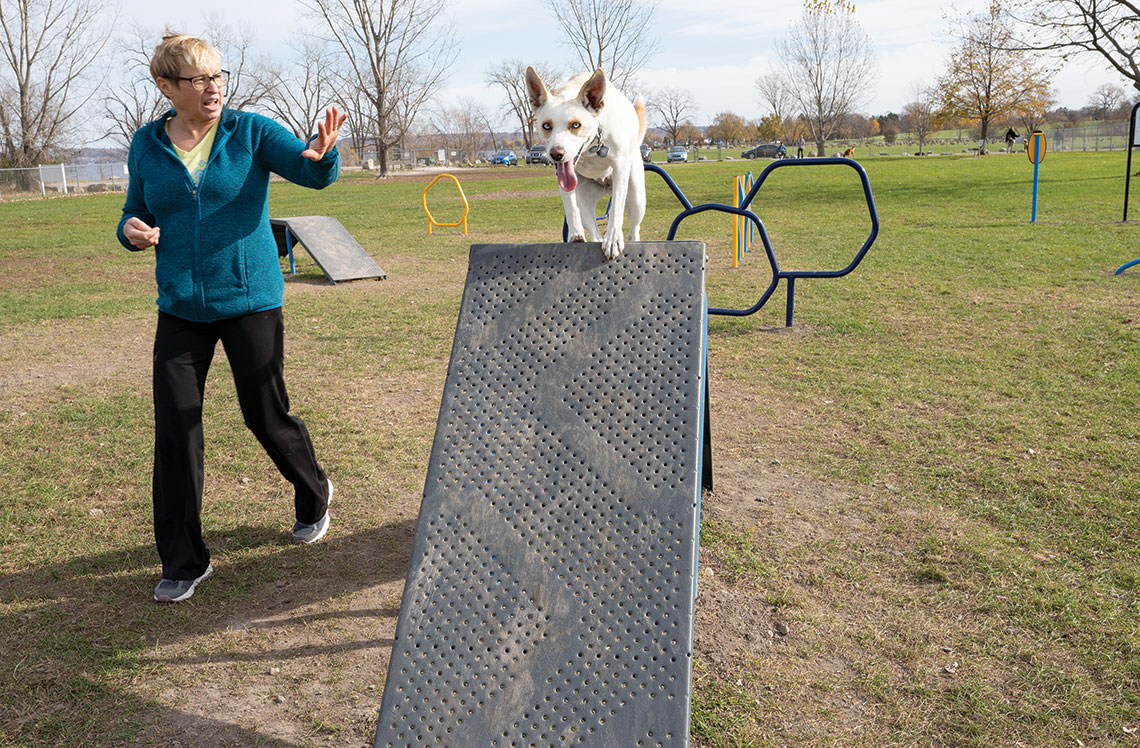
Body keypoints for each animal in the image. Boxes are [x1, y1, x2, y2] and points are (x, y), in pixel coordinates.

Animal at [526, 67, 652, 259]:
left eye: (575, 125)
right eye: (546, 126)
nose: (556, 154)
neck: (592, 148)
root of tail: (606, 185)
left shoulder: (620, 166)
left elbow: (616, 208)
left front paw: (613, 239)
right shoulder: (563, 177)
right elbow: (570, 206)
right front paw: (575, 235)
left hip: (637, 196)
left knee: (634, 228)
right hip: (585, 200)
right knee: (593, 230)